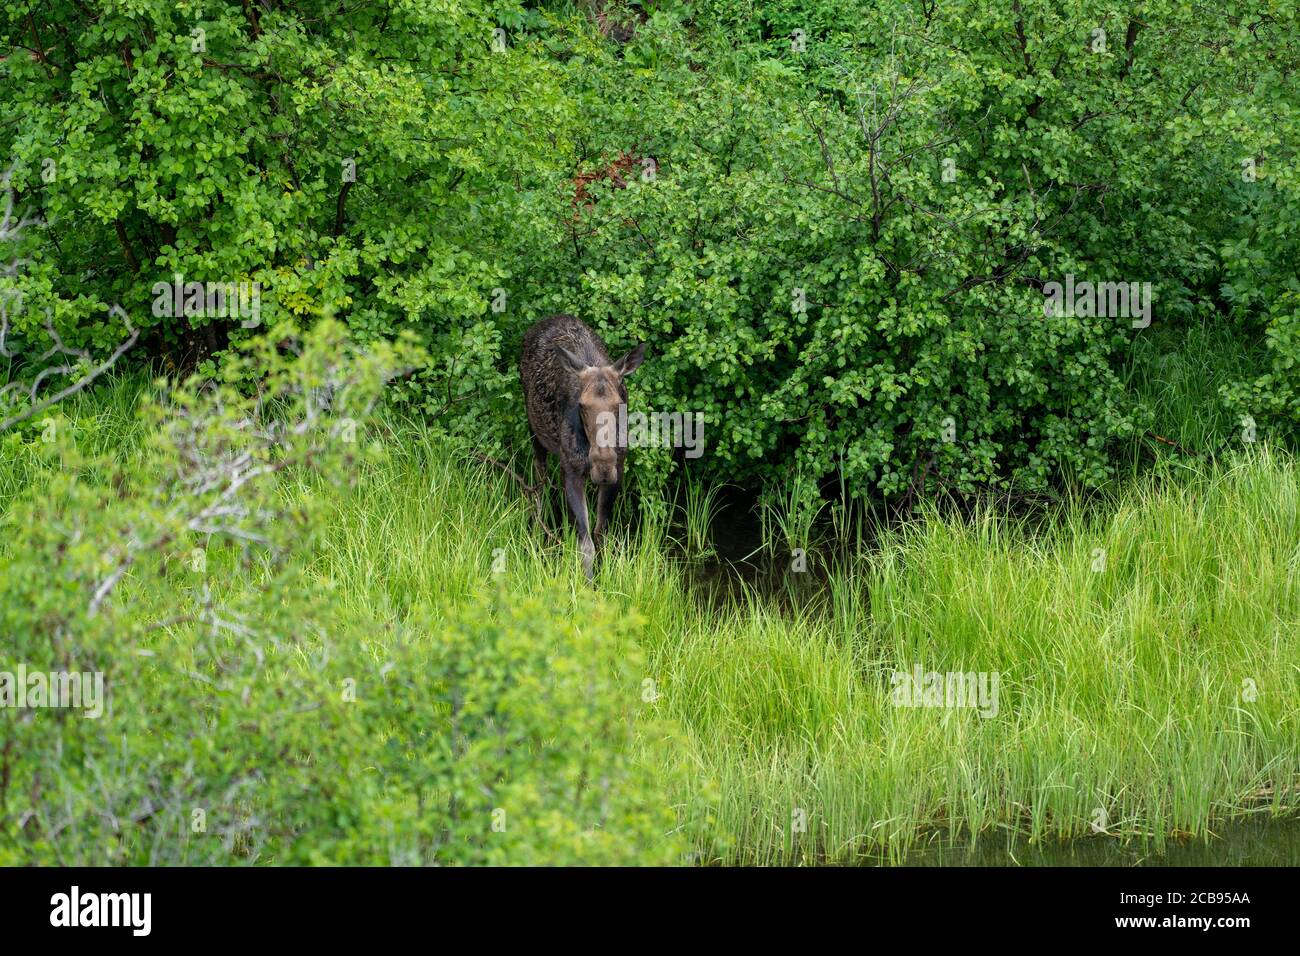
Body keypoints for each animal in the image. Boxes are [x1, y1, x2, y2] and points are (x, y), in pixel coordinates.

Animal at [520, 317, 647, 580]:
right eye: (582, 405)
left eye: (618, 403)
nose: (603, 464)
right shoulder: (571, 472)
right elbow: (585, 544)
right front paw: (587, 583)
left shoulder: (618, 473)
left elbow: (601, 534)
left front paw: (605, 577)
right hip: (534, 430)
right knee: (539, 478)